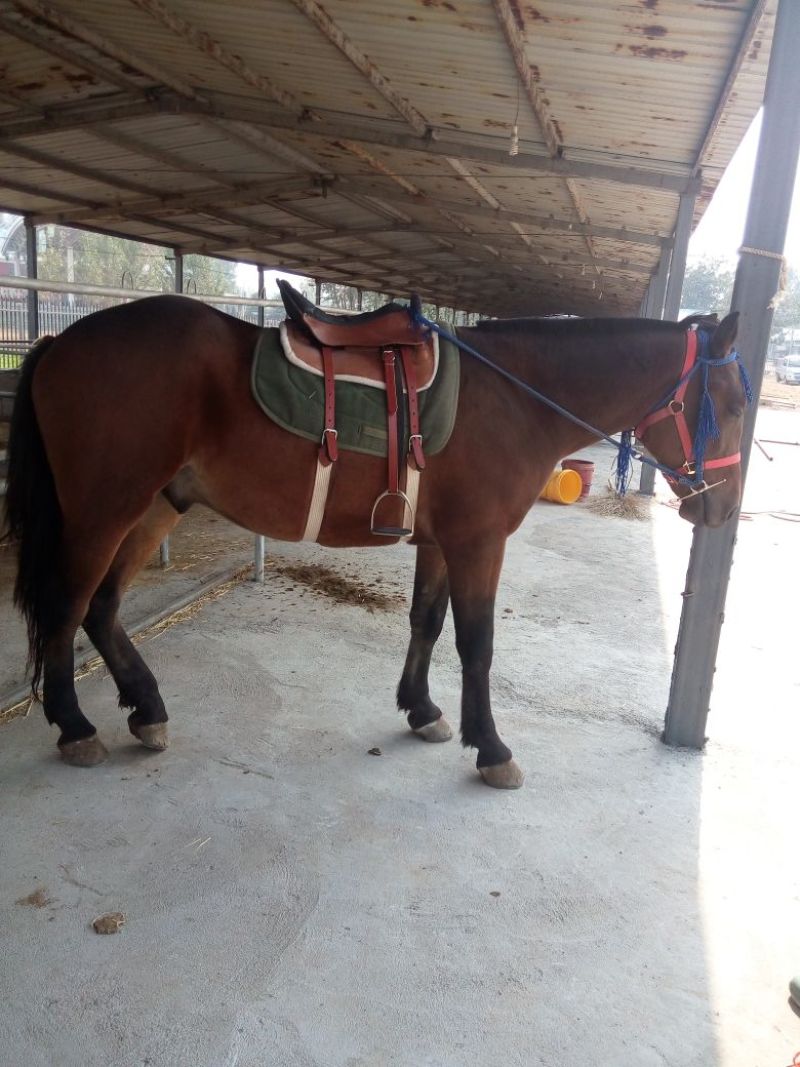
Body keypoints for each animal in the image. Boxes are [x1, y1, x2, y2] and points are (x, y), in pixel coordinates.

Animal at [3, 295, 746, 787]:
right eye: (736, 404)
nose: (722, 508)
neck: (517, 400)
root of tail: (60, 341)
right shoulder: (479, 543)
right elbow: (477, 644)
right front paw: (492, 747)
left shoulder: (442, 541)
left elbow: (426, 621)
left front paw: (421, 710)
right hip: (103, 512)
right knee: (66, 609)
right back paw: (75, 726)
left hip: (156, 506)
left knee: (101, 609)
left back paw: (147, 708)